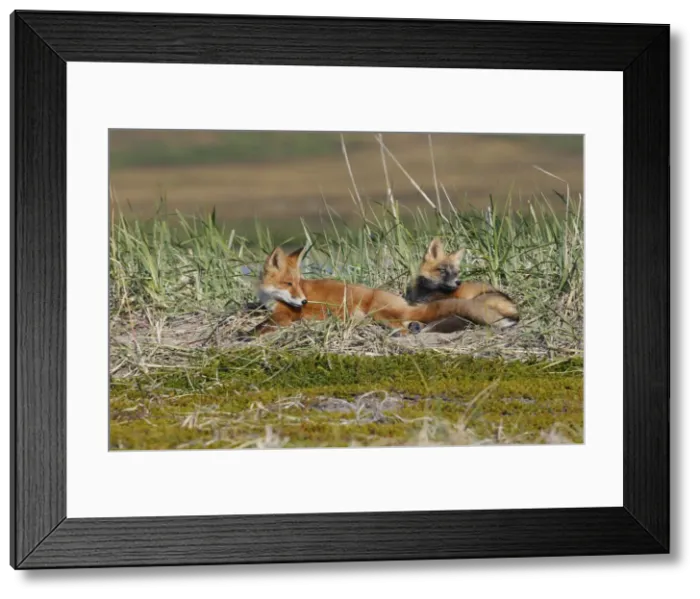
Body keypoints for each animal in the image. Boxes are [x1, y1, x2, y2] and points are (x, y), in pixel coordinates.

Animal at [250, 245, 514, 335]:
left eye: (297, 283)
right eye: (289, 284)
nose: (304, 302)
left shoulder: (284, 315)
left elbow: (260, 328)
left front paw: (247, 335)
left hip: (378, 314)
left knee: (403, 328)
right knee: (413, 324)